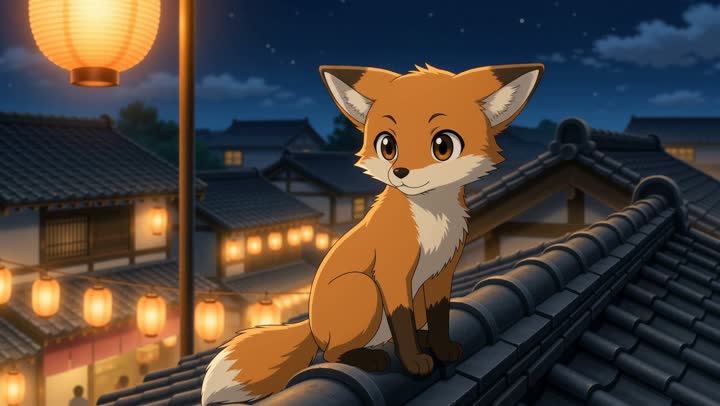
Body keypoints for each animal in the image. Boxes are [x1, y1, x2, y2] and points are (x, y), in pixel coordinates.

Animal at [201, 62, 544, 405]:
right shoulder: (392, 274)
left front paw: (442, 348)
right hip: (363, 287)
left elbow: (440, 316)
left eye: (443, 146)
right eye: (387, 145)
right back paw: (369, 358)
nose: (400, 172)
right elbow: (401, 323)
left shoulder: (442, 273)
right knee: (332, 353)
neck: (432, 220)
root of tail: (312, 326)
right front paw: (414, 362)